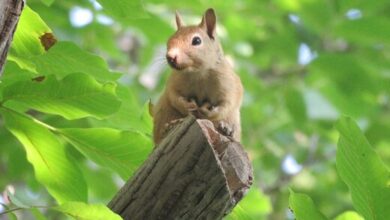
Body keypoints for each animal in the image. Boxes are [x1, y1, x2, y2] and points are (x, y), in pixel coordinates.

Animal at [152, 8, 244, 144]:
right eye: (169, 40)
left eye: (197, 41)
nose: (171, 57)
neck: (198, 73)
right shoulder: (173, 81)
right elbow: (173, 95)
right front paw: (186, 106)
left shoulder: (229, 84)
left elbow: (228, 104)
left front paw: (210, 112)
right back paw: (169, 126)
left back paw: (226, 128)